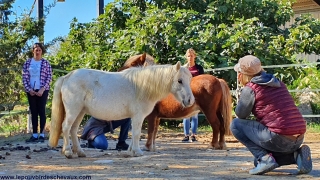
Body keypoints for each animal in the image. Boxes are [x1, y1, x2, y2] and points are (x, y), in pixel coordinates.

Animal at [48, 61, 194, 158]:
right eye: (179, 80)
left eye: (190, 79)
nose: (190, 101)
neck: (142, 87)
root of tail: (67, 77)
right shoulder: (138, 116)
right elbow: (137, 133)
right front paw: (137, 152)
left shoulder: (134, 117)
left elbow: (134, 134)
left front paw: (130, 151)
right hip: (73, 111)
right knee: (66, 127)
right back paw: (68, 152)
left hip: (80, 112)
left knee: (73, 130)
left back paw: (79, 152)